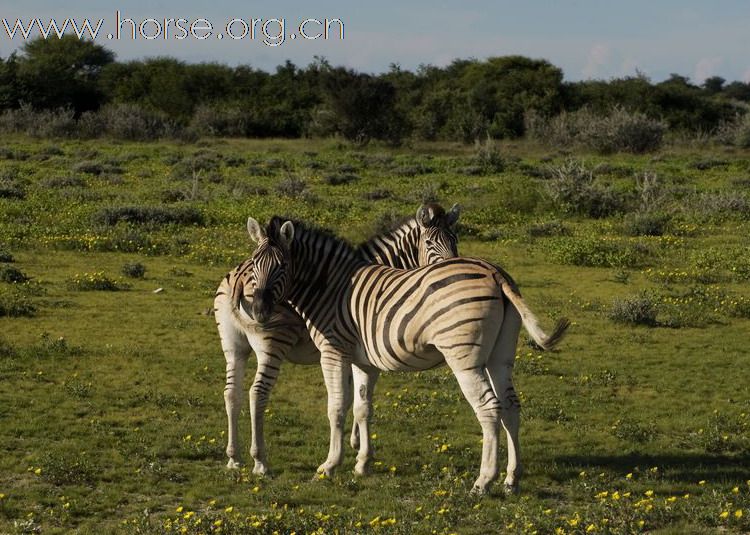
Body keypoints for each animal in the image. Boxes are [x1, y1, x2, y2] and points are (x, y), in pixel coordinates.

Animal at [214, 203, 462, 476]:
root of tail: (238, 277)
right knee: (257, 394)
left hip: (233, 346)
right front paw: (355, 447)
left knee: (231, 393)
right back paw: (260, 461)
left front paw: (355, 445)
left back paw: (233, 457)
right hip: (272, 345)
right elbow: (356, 398)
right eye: (429, 242)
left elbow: (355, 397)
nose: (451, 273)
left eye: (455, 239)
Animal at [244, 216, 572, 496]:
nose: (259, 311)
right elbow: (362, 408)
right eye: (254, 264)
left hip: (464, 358)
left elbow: (336, 408)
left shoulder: (333, 350)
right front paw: (362, 464)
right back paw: (511, 479)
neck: (331, 288)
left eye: (282, 265)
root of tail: (494, 271)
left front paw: (329, 466)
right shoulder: (363, 360)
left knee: (489, 408)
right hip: (499, 357)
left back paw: (483, 481)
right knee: (511, 406)